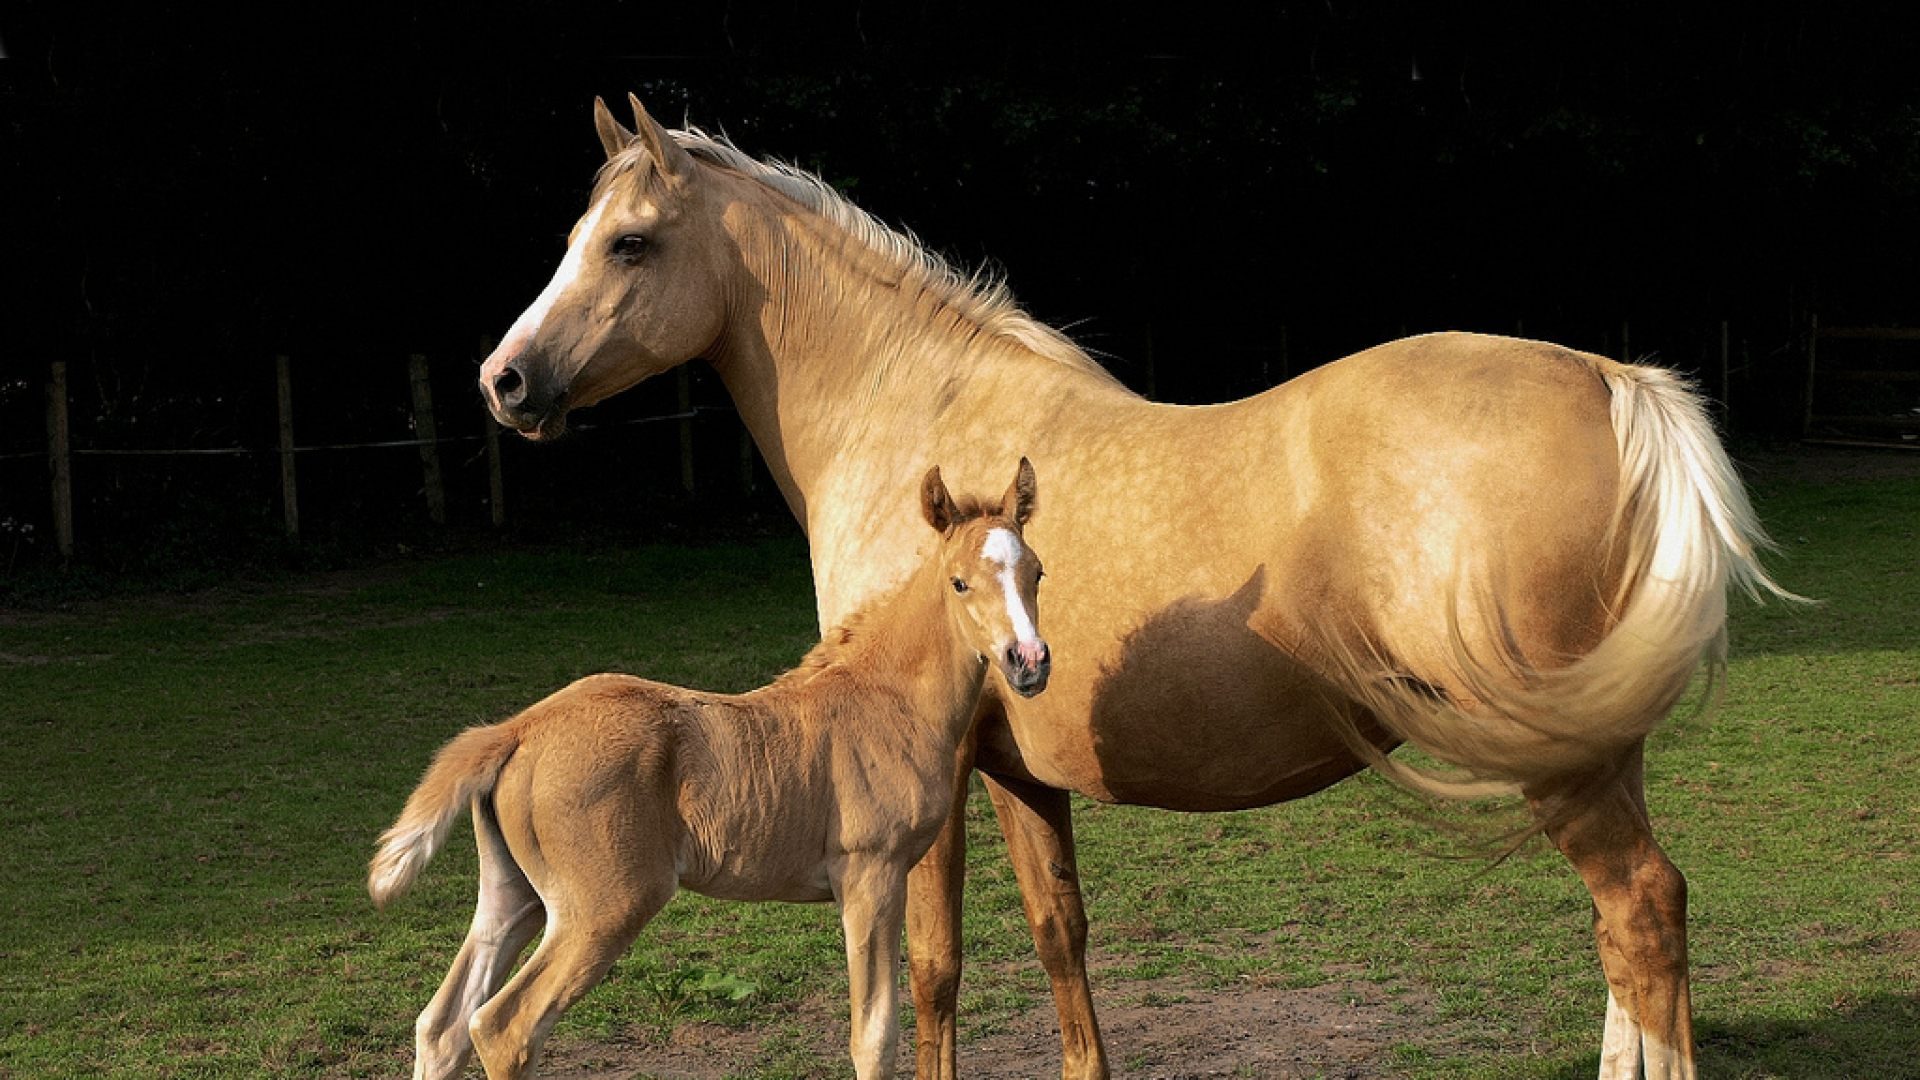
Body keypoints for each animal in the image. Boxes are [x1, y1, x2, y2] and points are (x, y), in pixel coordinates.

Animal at [369, 460, 1052, 1080]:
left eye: (1037, 572)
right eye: (959, 583)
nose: (1029, 661)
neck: (888, 700)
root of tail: (517, 730)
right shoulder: (871, 875)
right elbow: (874, 1038)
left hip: (513, 896)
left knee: (442, 1027)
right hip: (604, 906)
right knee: (503, 1027)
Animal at [474, 94, 1797, 1080]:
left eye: (629, 242)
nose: (506, 380)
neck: (918, 420)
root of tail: (1608, 378)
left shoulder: (931, 790)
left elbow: (934, 973)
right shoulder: (1020, 772)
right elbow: (1061, 940)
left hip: (1566, 767)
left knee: (1644, 912)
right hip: (1592, 751)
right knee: (1624, 941)